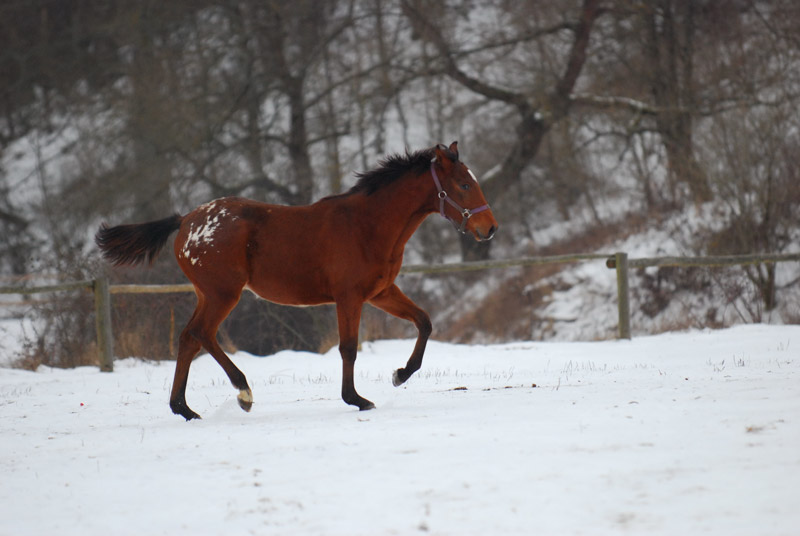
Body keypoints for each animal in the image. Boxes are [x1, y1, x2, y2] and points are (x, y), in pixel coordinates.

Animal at [97, 144, 496, 420]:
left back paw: (185, 408)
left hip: (208, 294)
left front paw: (400, 374)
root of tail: (184, 222)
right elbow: (348, 348)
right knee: (201, 334)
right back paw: (242, 393)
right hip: (223, 293)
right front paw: (358, 399)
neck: (367, 225)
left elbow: (424, 322)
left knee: (188, 338)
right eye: (463, 184)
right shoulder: (349, 296)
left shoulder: (381, 292)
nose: (489, 228)